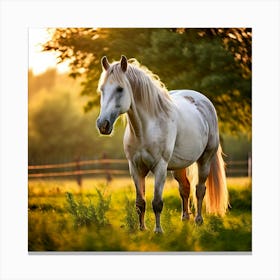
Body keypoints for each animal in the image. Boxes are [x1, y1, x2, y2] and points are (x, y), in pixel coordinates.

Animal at [96, 55, 228, 233]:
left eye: (120, 89)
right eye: (102, 89)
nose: (102, 125)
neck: (146, 128)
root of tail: (203, 101)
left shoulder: (160, 167)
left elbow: (157, 203)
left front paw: (158, 231)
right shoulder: (135, 168)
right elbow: (140, 202)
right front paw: (142, 229)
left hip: (205, 159)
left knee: (199, 190)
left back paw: (198, 221)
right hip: (179, 166)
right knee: (185, 188)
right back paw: (185, 219)